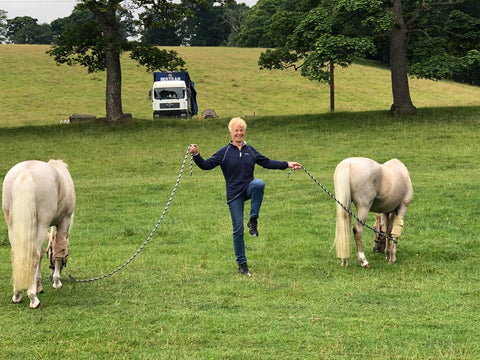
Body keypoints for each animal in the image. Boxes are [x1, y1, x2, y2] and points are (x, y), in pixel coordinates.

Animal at [2, 160, 75, 310]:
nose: (51, 275)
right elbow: (58, 251)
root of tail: (26, 171)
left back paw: (17, 295)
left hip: (12, 225)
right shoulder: (64, 221)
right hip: (42, 224)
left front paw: (39, 285)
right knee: (33, 255)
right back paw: (33, 298)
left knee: (17, 255)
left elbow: (41, 254)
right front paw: (56, 282)